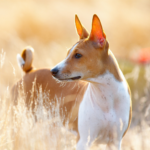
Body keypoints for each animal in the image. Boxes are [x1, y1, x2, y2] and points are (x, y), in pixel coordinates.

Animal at [51, 14, 132, 150]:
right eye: (67, 53)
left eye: (78, 55)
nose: (53, 71)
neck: (106, 98)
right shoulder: (83, 141)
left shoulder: (115, 142)